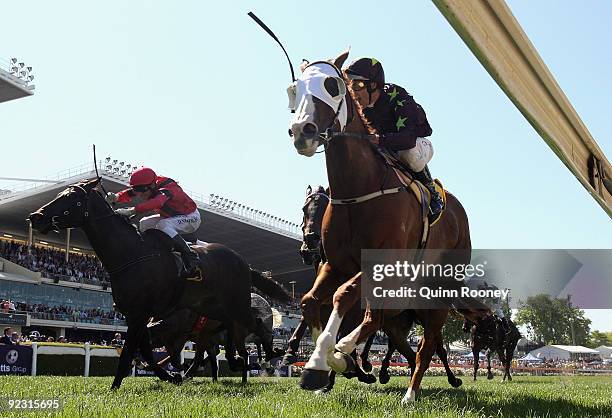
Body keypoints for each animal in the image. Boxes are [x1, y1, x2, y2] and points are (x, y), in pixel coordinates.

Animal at [29, 179, 292, 388]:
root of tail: (244, 262)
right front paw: (170, 375)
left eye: (70, 198)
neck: (131, 254)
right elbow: (146, 349)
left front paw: (115, 386)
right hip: (212, 308)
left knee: (257, 326)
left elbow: (130, 350)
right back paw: (240, 360)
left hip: (235, 303)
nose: (35, 216)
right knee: (233, 332)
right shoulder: (137, 315)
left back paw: (270, 355)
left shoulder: (141, 313)